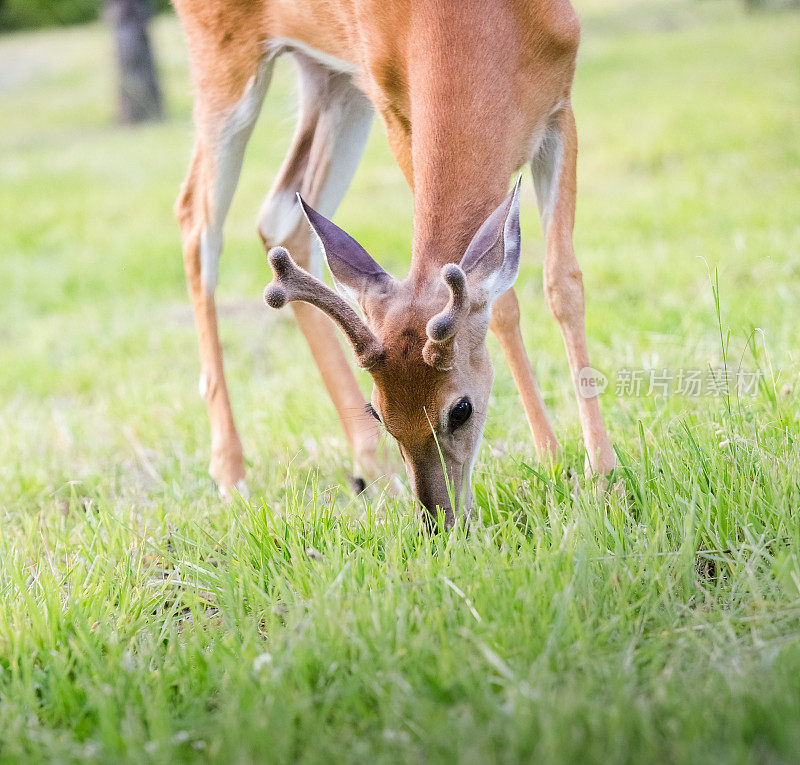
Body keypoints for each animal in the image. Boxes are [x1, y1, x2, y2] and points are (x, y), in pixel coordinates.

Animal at [172, 0, 616, 528]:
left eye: (460, 410)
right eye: (380, 412)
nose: (438, 521)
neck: (478, 28)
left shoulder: (559, 106)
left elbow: (563, 283)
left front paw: (601, 472)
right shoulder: (394, 107)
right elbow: (505, 304)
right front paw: (552, 459)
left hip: (330, 78)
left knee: (281, 221)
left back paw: (377, 473)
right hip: (222, 61)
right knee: (196, 219)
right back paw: (231, 474)